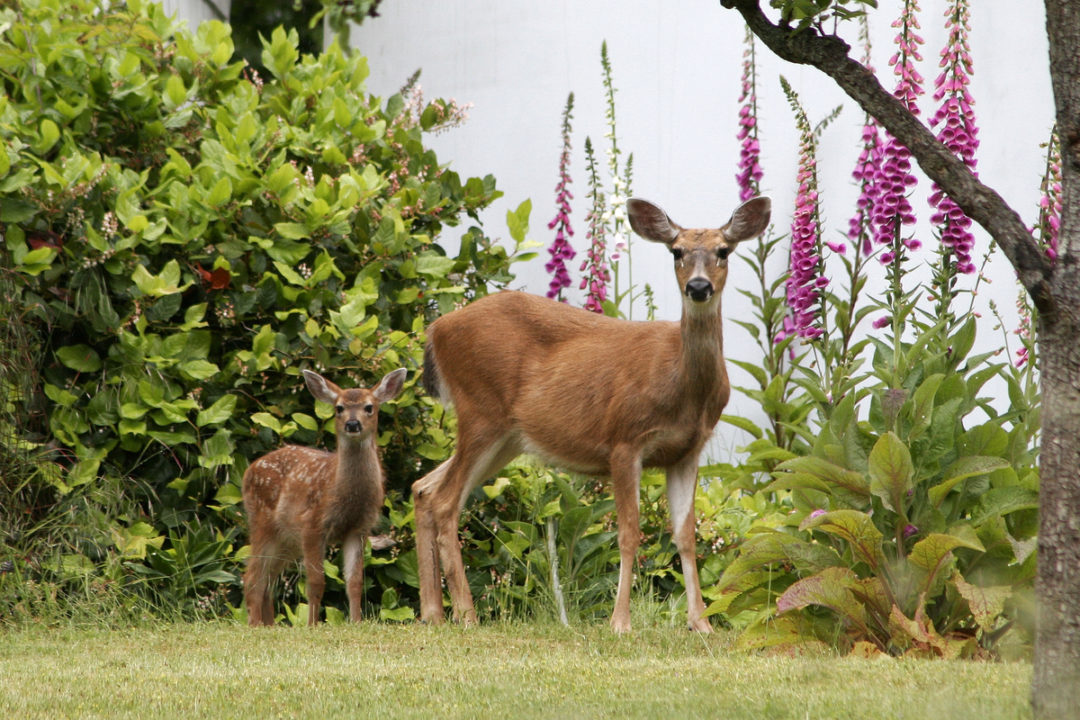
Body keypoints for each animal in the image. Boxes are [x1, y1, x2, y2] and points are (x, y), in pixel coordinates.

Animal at [243, 367, 406, 626]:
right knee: (251, 577)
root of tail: (249, 470)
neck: (347, 498)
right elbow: (316, 583)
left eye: (369, 407)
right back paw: (255, 625)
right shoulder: (312, 524)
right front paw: (312, 624)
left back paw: (269, 624)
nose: (352, 423)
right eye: (339, 408)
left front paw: (356, 622)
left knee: (267, 580)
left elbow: (355, 582)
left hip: (287, 539)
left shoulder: (358, 529)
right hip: (262, 522)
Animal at [408, 195, 773, 630]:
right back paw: (466, 615)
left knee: (423, 488)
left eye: (723, 251)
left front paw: (701, 624)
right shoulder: (624, 439)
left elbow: (685, 536)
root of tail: (436, 330)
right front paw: (620, 623)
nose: (698, 287)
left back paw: (433, 613)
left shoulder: (687, 451)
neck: (681, 384)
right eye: (677, 251)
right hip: (480, 410)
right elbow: (629, 533)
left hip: (507, 436)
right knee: (445, 501)